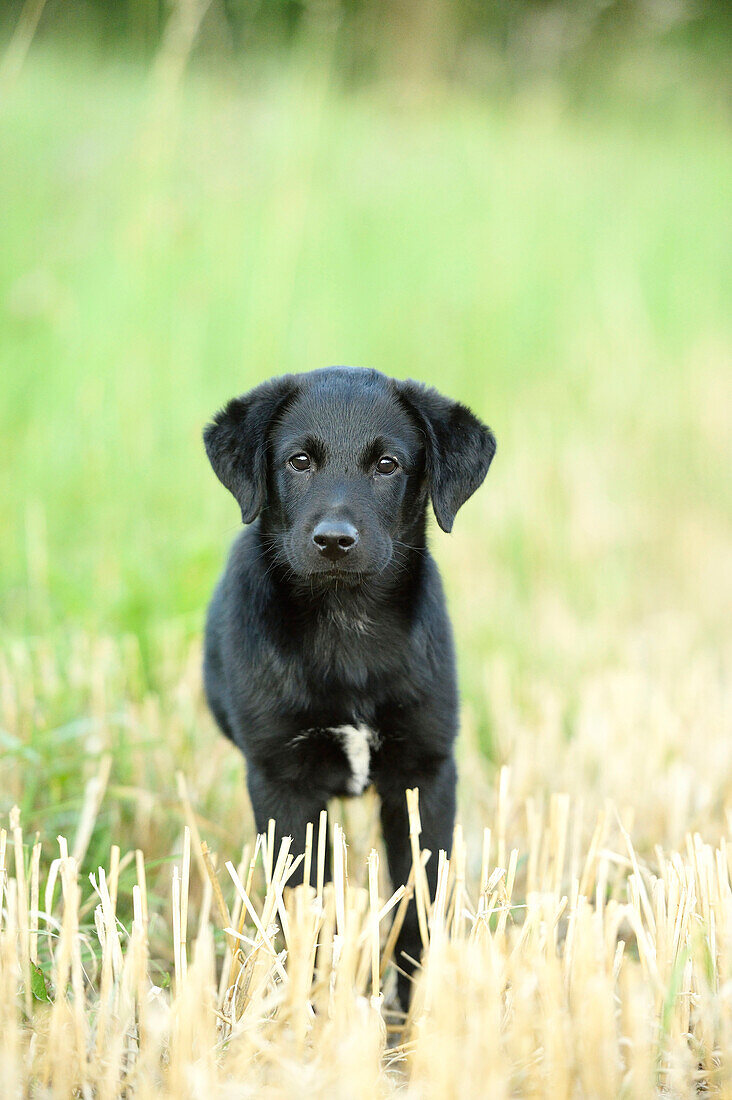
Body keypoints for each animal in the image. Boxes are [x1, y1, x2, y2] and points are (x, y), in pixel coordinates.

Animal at [202, 367, 493, 1007]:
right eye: (298, 461)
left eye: (387, 464)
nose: (334, 540)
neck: (346, 624)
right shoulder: (283, 784)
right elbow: (305, 907)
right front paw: (312, 1007)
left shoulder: (424, 774)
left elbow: (418, 899)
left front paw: (414, 1010)